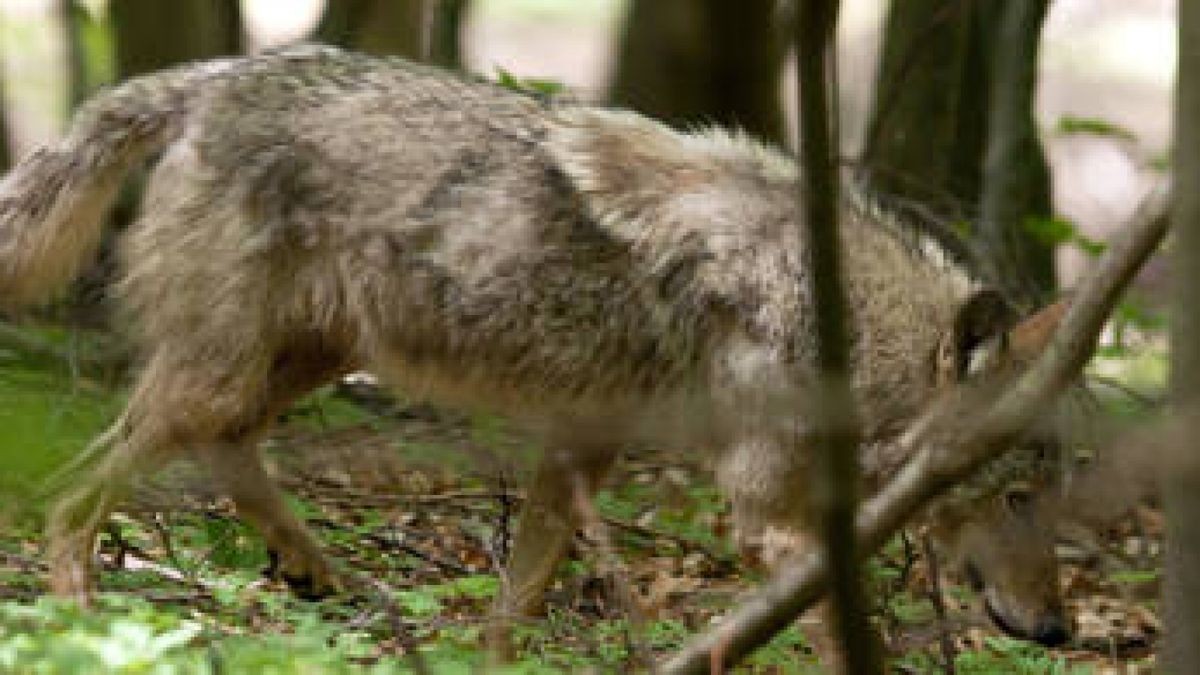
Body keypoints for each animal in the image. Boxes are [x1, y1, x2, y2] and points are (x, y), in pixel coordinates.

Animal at [0, 44, 1070, 643]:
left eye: (1043, 498)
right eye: (1016, 495)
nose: (1060, 630)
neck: (830, 312)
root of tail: (215, 78)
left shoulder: (579, 452)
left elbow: (513, 613)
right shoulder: (763, 518)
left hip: (297, 363)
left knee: (226, 455)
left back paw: (318, 570)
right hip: (223, 376)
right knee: (73, 493)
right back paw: (82, 627)